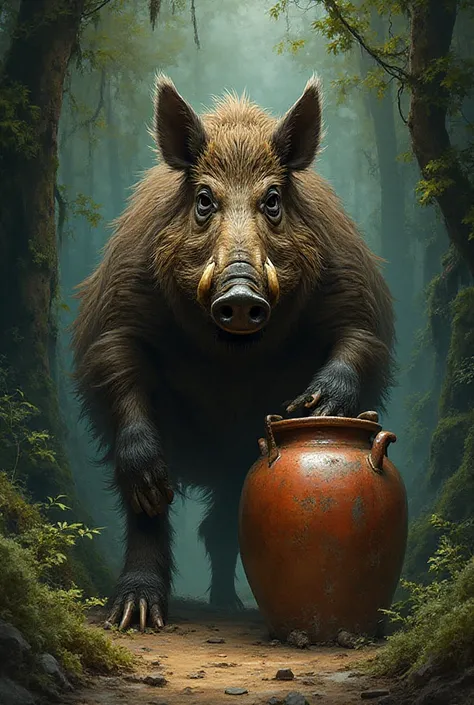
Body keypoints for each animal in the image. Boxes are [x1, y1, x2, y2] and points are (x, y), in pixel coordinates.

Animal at [72, 74, 395, 631]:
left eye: (273, 200)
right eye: (204, 199)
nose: (240, 295)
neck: (231, 357)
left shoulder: (353, 291)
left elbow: (357, 340)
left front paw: (311, 406)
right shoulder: (118, 312)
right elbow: (117, 365)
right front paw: (151, 480)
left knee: (220, 523)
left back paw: (226, 605)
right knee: (152, 516)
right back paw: (137, 615)